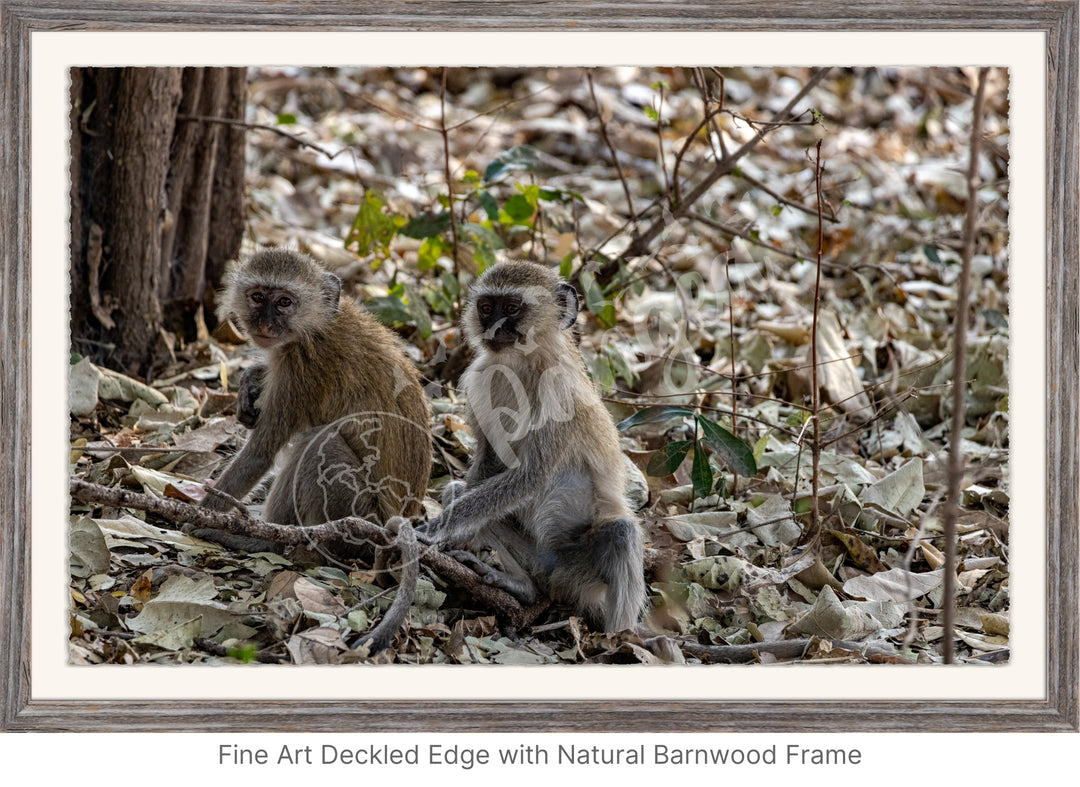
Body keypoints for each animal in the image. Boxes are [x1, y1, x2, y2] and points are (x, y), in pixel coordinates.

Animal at [419, 261, 639, 630]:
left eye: (511, 308)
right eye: (486, 308)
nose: (492, 327)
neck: (522, 364)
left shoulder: (559, 392)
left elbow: (532, 475)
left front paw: (434, 529)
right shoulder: (481, 376)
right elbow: (491, 463)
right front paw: (453, 537)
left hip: (583, 573)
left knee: (621, 533)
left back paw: (622, 636)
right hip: (536, 557)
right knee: (459, 492)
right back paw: (520, 585)